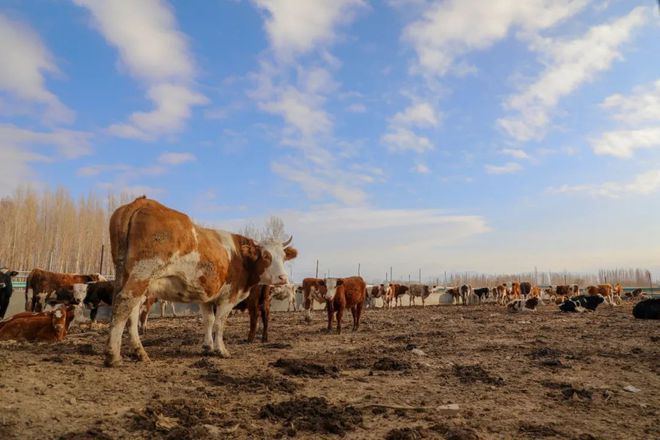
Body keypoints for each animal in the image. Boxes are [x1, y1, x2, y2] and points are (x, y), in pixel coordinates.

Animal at [105, 198, 296, 366]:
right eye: (265, 256)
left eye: (284, 256)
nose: (283, 278)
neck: (240, 257)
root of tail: (142, 202)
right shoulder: (228, 296)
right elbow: (219, 322)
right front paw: (221, 350)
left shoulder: (206, 297)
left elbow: (209, 320)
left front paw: (207, 346)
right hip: (142, 273)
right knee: (124, 304)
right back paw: (113, 356)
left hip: (125, 275)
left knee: (130, 310)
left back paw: (140, 353)